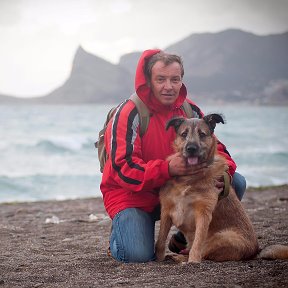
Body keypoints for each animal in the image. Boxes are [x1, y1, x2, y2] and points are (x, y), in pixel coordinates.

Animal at [155, 114, 288, 264]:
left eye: (202, 134)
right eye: (184, 134)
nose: (191, 148)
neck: (190, 177)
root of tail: (255, 252)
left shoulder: (203, 214)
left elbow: (197, 244)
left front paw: (193, 261)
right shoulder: (166, 211)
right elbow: (160, 240)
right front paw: (158, 258)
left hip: (222, 238)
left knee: (204, 253)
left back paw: (182, 257)